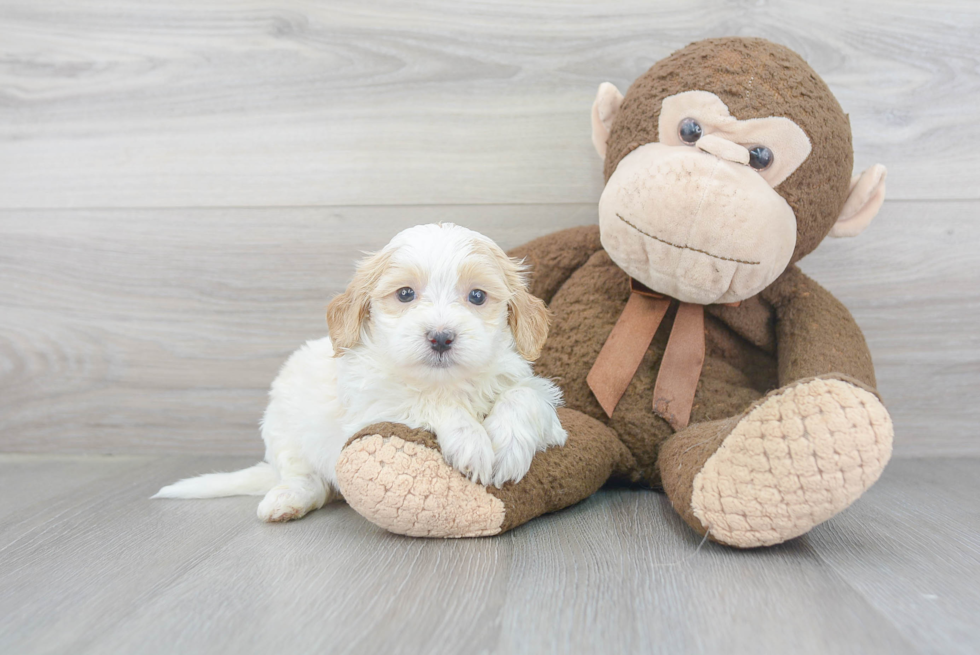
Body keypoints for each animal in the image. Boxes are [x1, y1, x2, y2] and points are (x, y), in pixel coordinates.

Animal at [153, 224, 568, 524]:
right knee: (308, 480)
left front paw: (508, 445)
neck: (445, 382)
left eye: (478, 296)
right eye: (405, 294)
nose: (441, 337)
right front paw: (472, 441)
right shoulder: (372, 410)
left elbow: (525, 394)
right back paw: (288, 499)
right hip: (283, 428)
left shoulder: (541, 400)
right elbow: (426, 402)